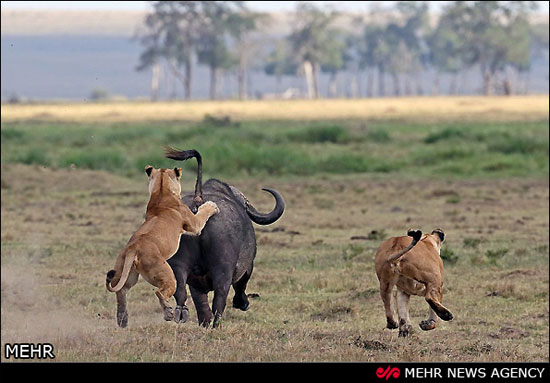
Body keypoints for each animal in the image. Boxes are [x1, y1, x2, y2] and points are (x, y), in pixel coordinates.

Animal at [104, 165, 219, 328]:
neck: (161, 192)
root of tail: (133, 248)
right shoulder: (195, 225)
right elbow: (203, 213)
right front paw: (212, 206)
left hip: (126, 274)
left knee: (121, 291)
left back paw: (122, 319)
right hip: (167, 275)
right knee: (159, 293)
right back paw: (168, 312)